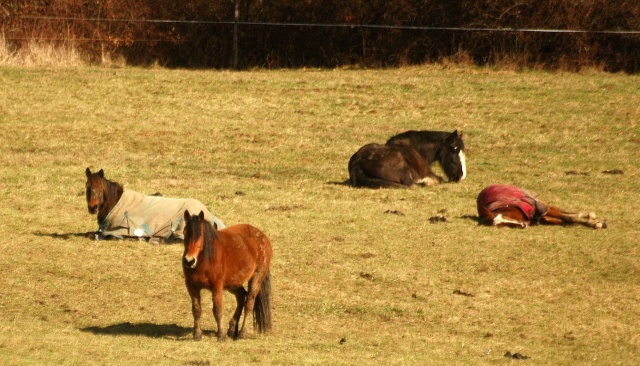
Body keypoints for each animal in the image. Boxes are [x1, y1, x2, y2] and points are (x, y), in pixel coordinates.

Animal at [181, 210, 272, 342]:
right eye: (185, 233)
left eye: (200, 235)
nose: (189, 261)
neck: (205, 260)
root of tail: (262, 237)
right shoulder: (192, 287)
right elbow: (196, 310)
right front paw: (197, 335)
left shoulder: (217, 287)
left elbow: (217, 310)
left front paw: (221, 335)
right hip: (233, 283)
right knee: (241, 296)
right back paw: (232, 329)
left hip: (256, 278)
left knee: (249, 303)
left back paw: (242, 333)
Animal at [478, 186, 608, 229]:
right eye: (504, 225)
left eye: (507, 216)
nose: (523, 225)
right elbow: (563, 221)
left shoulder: (542, 209)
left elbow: (567, 218)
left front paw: (596, 224)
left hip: (543, 205)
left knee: (560, 211)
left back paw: (588, 216)